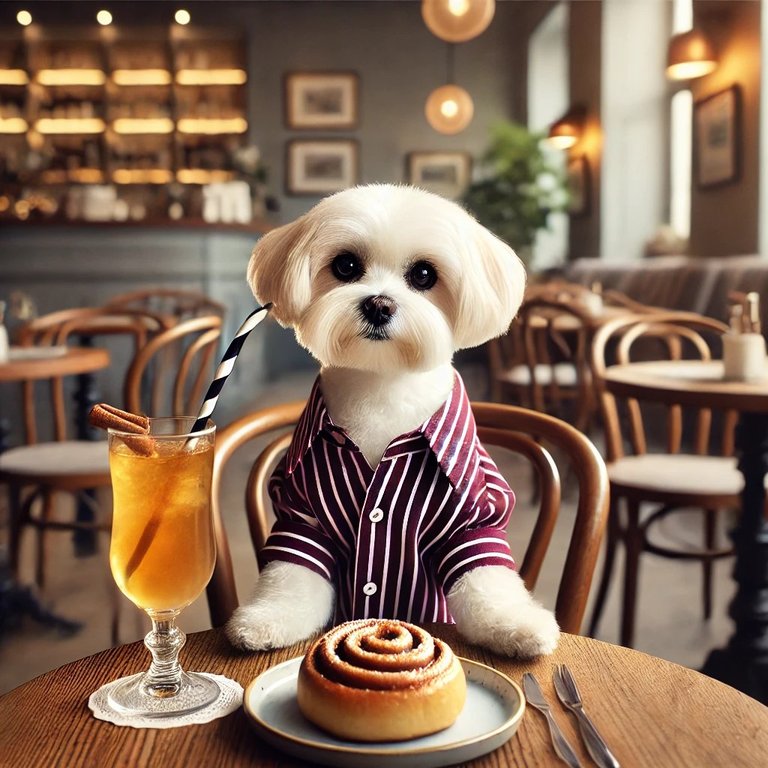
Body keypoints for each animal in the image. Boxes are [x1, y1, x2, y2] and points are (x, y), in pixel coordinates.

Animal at [226, 183, 560, 656]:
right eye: (346, 265)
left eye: (423, 275)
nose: (379, 305)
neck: (382, 389)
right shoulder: (300, 513)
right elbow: (292, 574)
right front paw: (265, 619)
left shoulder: (475, 515)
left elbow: (487, 577)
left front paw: (517, 624)